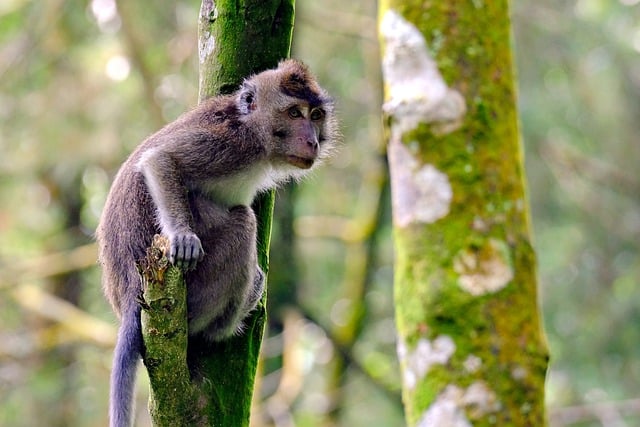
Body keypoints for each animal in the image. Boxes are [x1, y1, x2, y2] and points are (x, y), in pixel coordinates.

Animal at [95, 59, 338, 427]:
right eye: (295, 113)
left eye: (316, 115)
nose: (312, 141)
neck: (254, 131)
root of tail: (128, 300)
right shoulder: (230, 145)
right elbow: (161, 160)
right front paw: (183, 236)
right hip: (195, 293)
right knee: (242, 222)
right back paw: (231, 316)